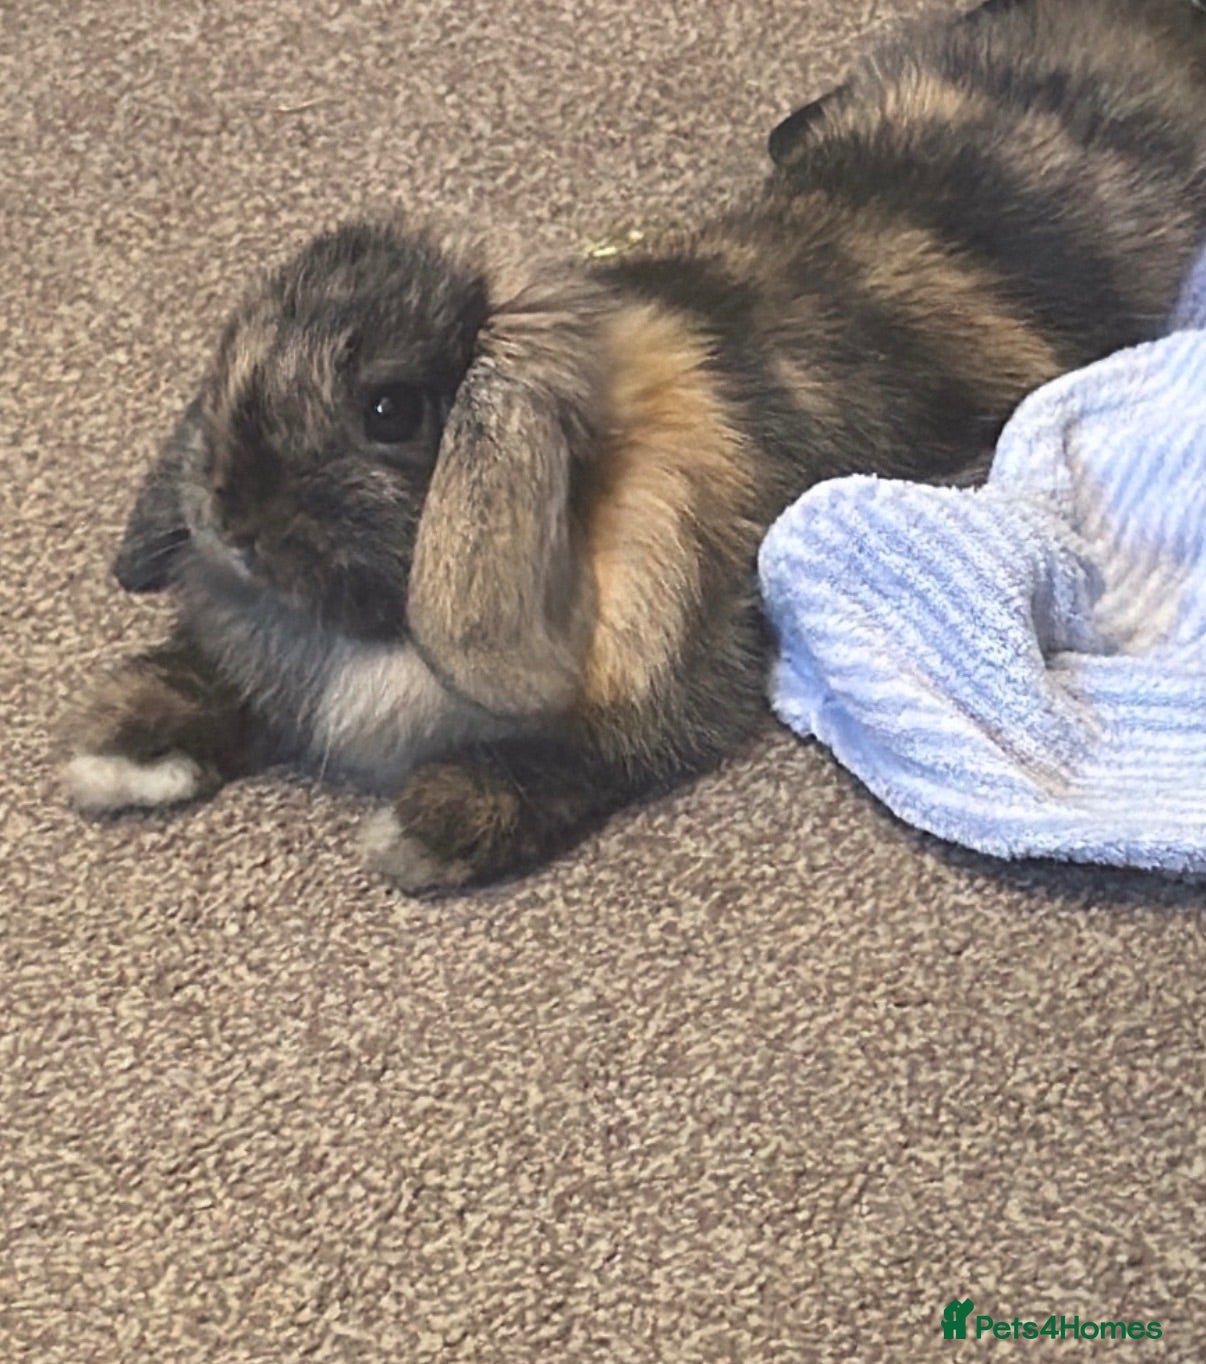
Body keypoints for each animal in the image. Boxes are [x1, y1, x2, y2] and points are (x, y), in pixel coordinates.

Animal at [62, 0, 1206, 893]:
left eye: (390, 410)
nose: (232, 521)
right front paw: (121, 749)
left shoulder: (673, 684)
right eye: (233, 364)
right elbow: (213, 680)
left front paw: (425, 829)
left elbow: (575, 758)